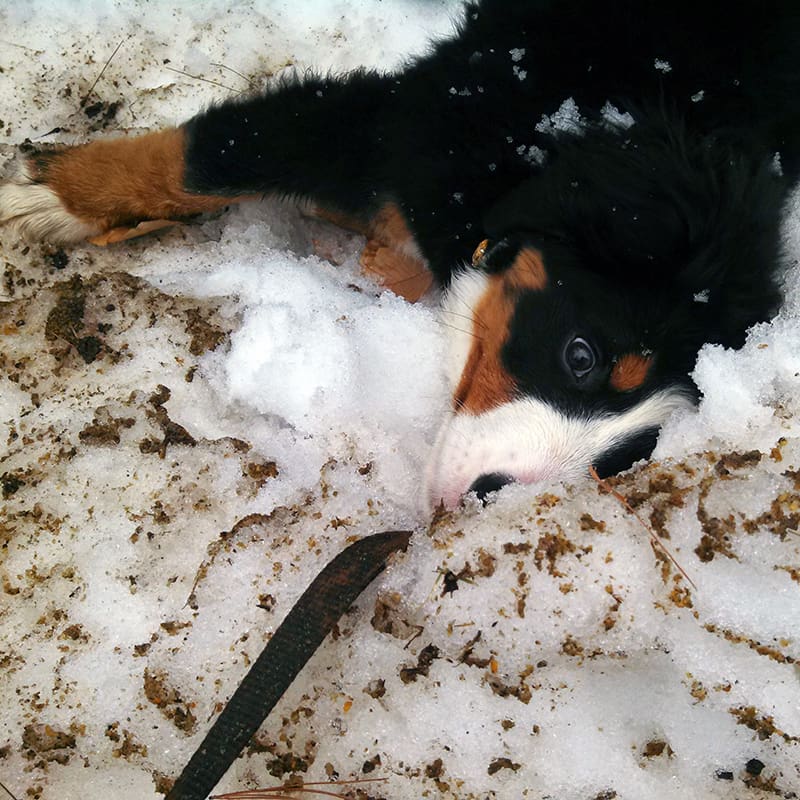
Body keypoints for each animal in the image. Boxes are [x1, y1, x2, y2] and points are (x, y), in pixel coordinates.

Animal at [3, 0, 796, 510]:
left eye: (631, 453)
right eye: (581, 355)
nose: (485, 498)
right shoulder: (408, 119)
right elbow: (203, 158)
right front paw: (52, 198)